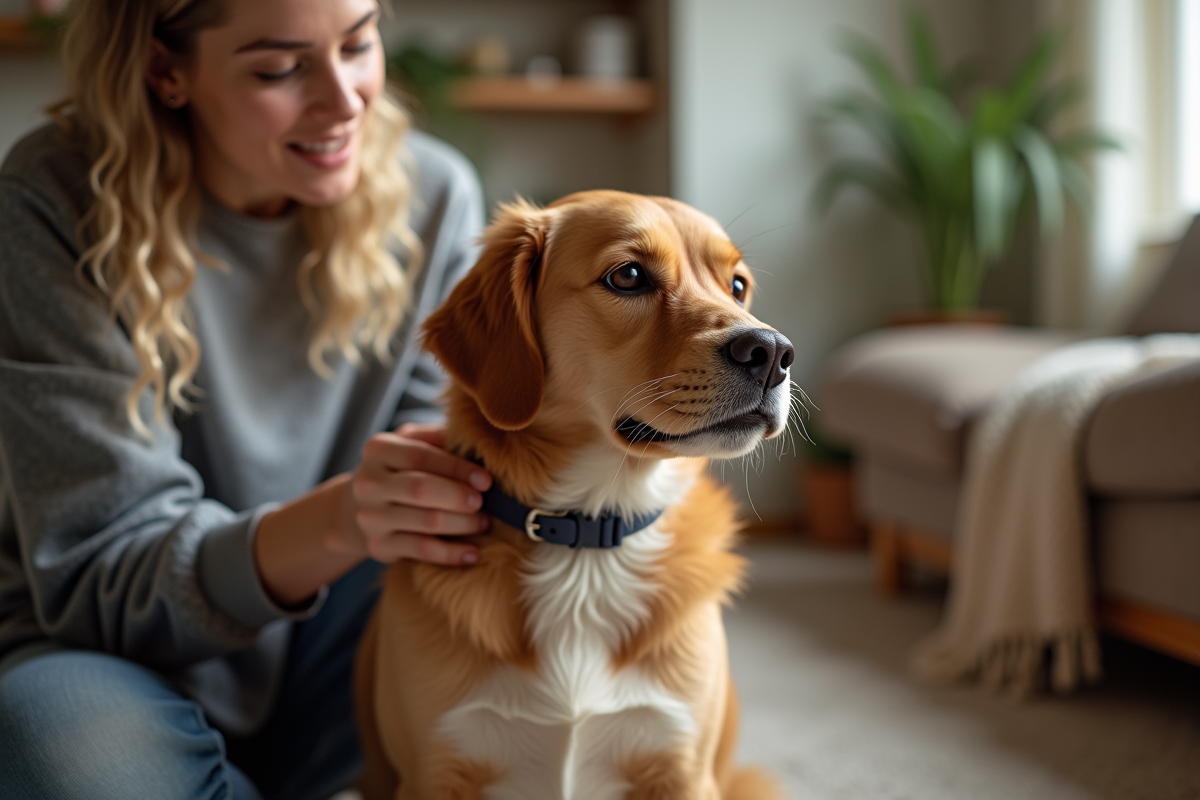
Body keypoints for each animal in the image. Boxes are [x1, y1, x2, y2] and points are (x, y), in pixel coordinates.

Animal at [350, 190, 792, 796]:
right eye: (628, 276)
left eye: (738, 286)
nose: (772, 352)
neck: (590, 535)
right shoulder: (433, 774)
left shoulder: (683, 771)